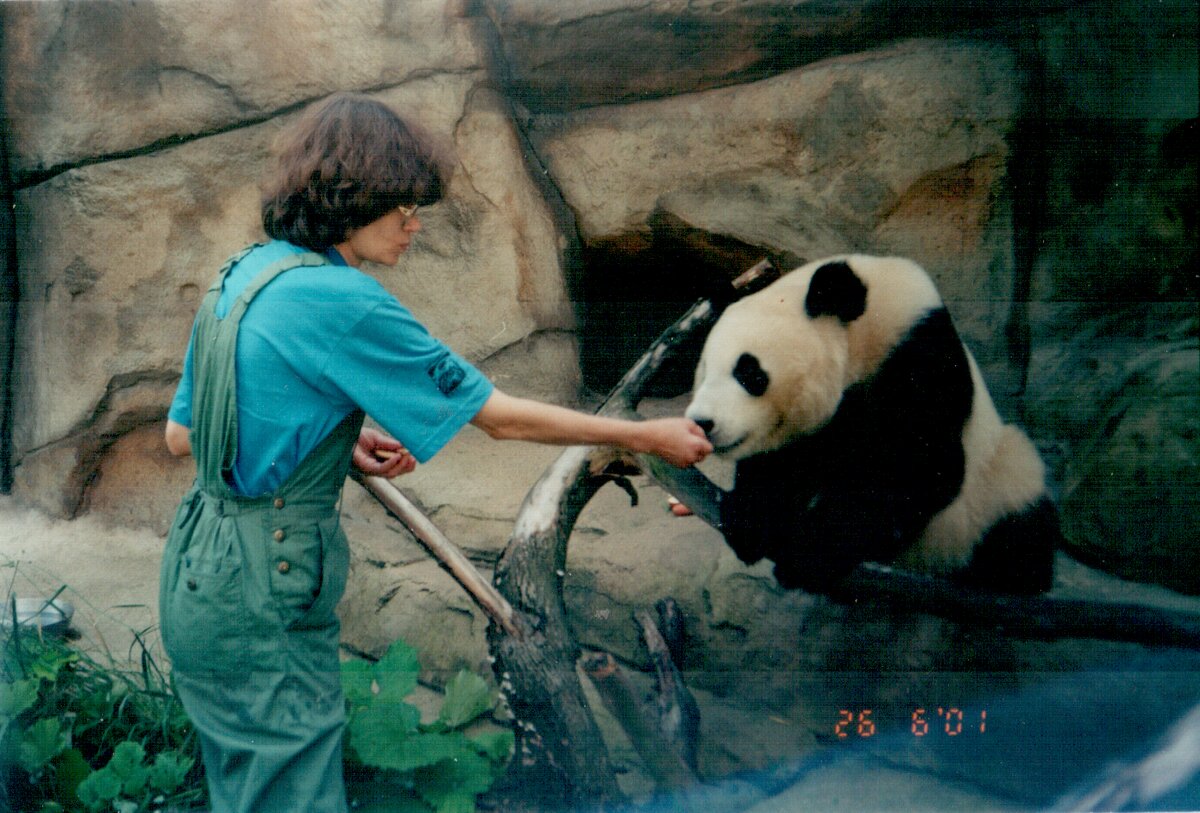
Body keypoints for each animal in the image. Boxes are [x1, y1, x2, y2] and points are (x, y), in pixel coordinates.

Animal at [686, 257, 1060, 594]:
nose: (703, 422)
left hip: (992, 487)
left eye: (750, 373)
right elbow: (782, 463)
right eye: (704, 370)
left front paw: (808, 555)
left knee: (1021, 524)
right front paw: (750, 522)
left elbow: (920, 468)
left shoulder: (919, 360)